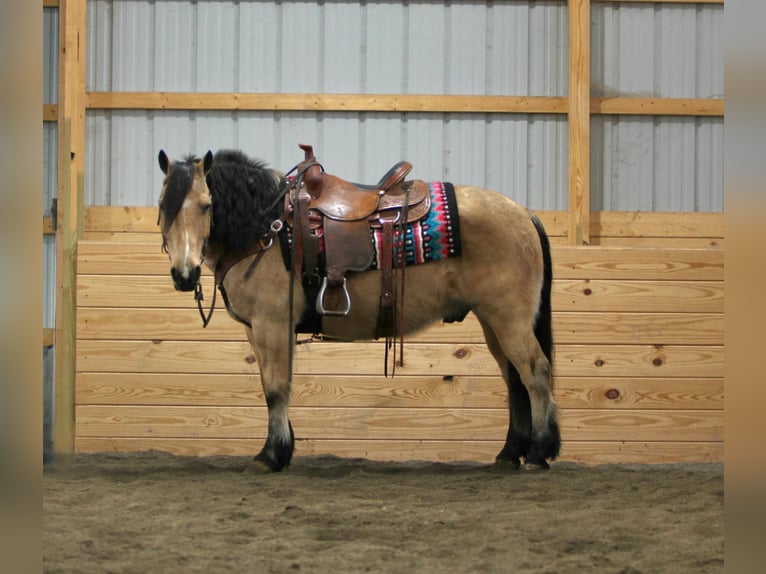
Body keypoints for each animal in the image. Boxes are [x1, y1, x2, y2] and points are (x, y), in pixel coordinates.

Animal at [157, 147, 561, 473]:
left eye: (206, 205)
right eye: (163, 206)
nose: (183, 274)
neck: (267, 229)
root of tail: (524, 214)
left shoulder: (271, 324)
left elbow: (275, 388)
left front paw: (270, 456)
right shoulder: (258, 329)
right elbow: (275, 385)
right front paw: (282, 451)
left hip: (510, 319)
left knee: (535, 373)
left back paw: (538, 454)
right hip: (494, 322)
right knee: (514, 379)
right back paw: (509, 453)